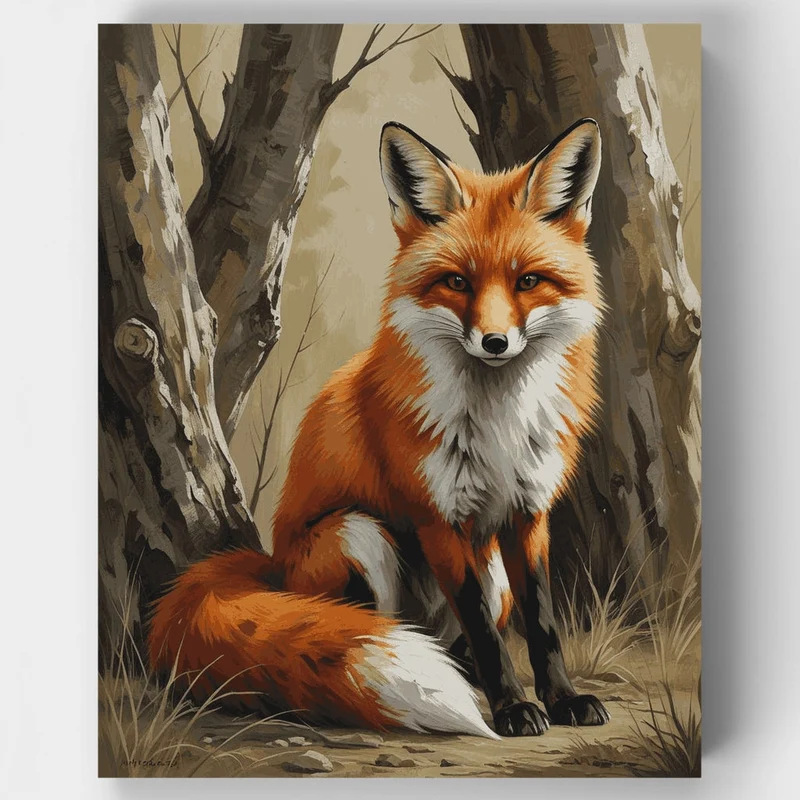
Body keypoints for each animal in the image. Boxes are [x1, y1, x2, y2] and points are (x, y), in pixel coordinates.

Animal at [149, 118, 610, 739]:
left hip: (489, 567)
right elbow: (487, 636)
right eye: (457, 283)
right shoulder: (439, 516)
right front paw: (514, 708)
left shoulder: (528, 512)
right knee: (373, 629)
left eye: (529, 281)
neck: (498, 426)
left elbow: (542, 623)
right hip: (358, 533)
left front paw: (563, 699)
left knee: (455, 644)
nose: (494, 342)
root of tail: (272, 568)